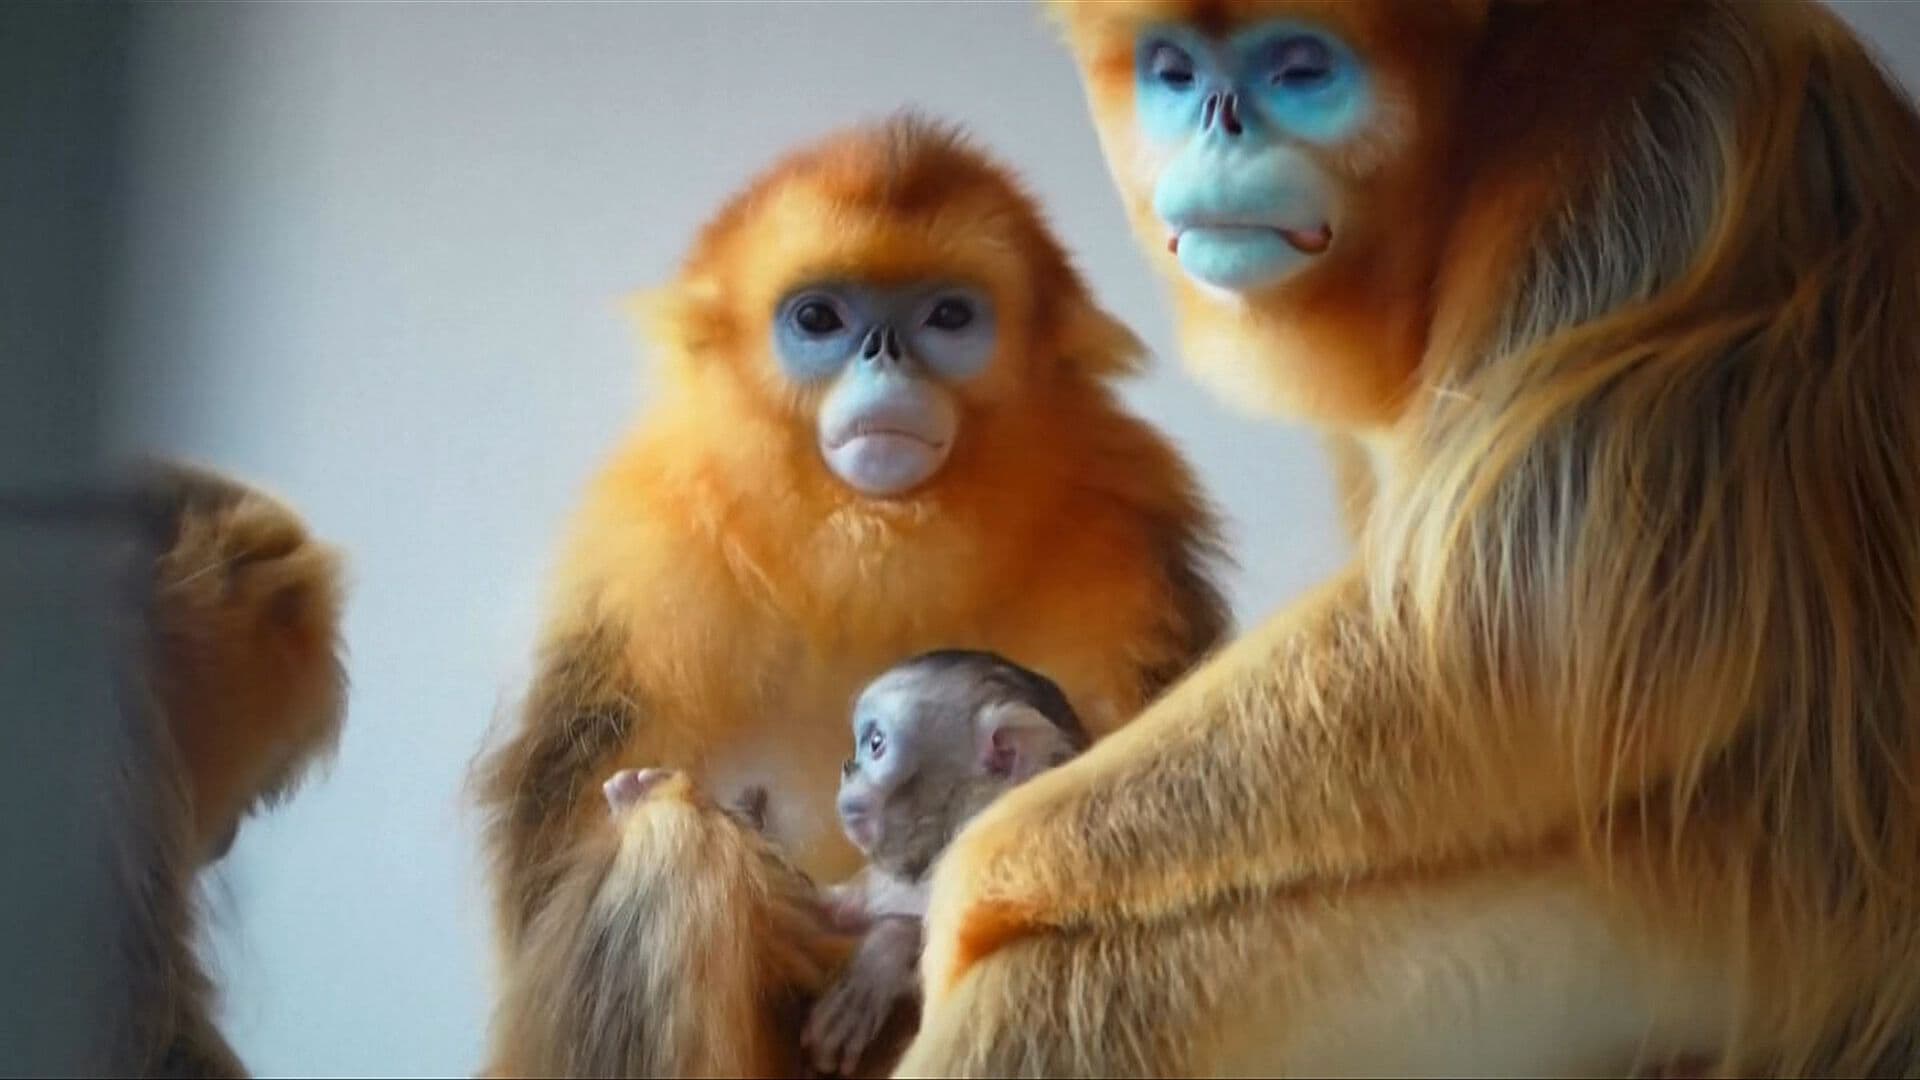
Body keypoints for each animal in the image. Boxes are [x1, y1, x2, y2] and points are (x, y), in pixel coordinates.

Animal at [899, 1, 1920, 1076]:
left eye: (1301, 68)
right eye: (1174, 73)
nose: (1219, 126)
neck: (1486, 123)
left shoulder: (1659, 162)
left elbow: (1510, 633)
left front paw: (969, 889)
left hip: (1706, 937)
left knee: (1078, 987)